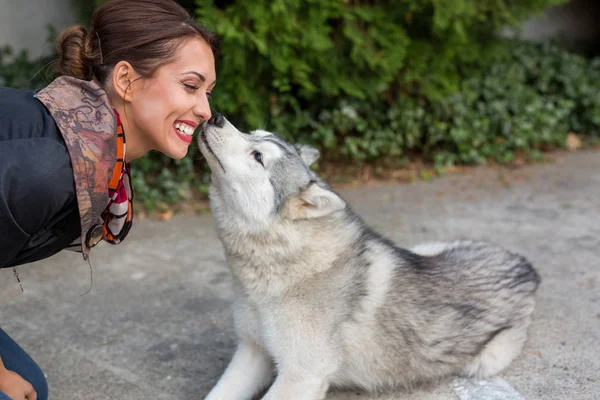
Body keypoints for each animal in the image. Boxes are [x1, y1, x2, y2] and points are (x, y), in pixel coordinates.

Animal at [199, 112, 540, 400]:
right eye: (252, 133)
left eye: (257, 157)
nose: (216, 117)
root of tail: (526, 266)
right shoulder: (252, 353)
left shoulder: (301, 376)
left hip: (482, 363)